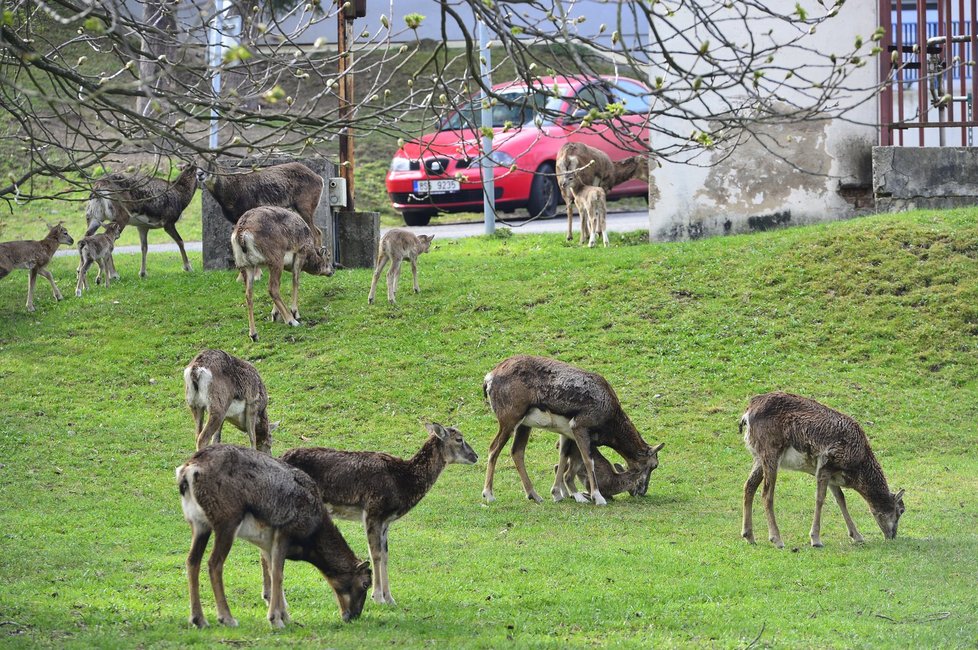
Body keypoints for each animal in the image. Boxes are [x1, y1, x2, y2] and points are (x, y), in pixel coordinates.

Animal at [177, 442, 372, 624]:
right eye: (365, 584)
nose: (353, 615)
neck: (312, 536)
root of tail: (188, 471)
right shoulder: (284, 530)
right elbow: (278, 574)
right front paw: (276, 619)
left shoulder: (267, 544)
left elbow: (272, 573)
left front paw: (285, 616)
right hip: (227, 521)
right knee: (214, 563)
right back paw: (227, 618)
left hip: (199, 524)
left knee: (192, 561)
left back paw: (199, 620)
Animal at [280, 422, 478, 604]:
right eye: (459, 439)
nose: (476, 456)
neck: (402, 482)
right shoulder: (373, 510)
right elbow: (375, 553)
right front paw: (377, 597)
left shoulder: (386, 520)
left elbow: (385, 555)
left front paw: (390, 598)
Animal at [740, 390, 908, 548]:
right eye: (901, 510)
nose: (892, 535)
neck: (858, 466)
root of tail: (747, 414)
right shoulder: (826, 464)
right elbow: (820, 498)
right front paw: (816, 540)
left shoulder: (832, 475)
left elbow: (840, 499)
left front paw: (857, 536)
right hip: (771, 452)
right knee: (766, 494)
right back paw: (777, 539)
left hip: (758, 457)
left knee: (749, 486)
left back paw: (749, 536)